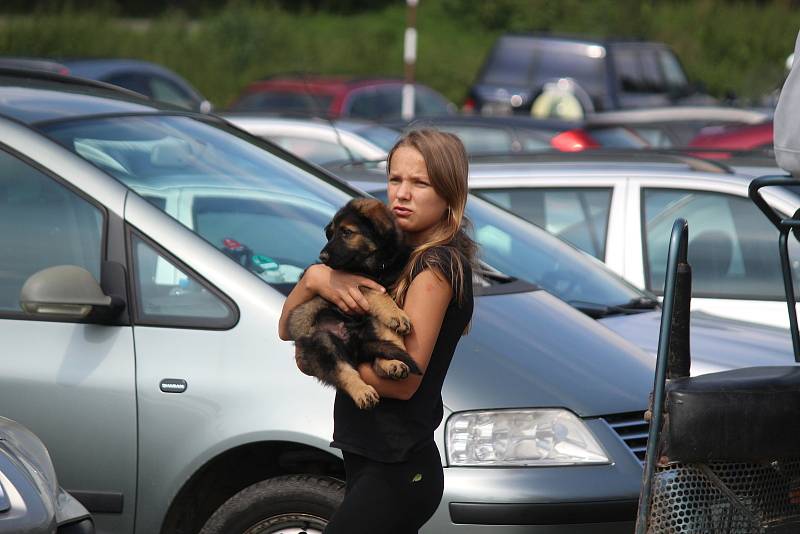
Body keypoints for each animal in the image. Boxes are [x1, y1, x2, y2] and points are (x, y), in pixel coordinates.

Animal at [290, 199, 424, 408]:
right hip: (322, 341)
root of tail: (356, 344)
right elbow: (375, 292)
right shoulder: (354, 282)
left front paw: (396, 316)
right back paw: (362, 391)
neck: (377, 265)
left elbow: (388, 316)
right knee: (343, 371)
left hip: (371, 327)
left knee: (381, 351)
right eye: (331, 234)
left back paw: (391, 364)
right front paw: (396, 313)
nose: (322, 257)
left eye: (347, 232)